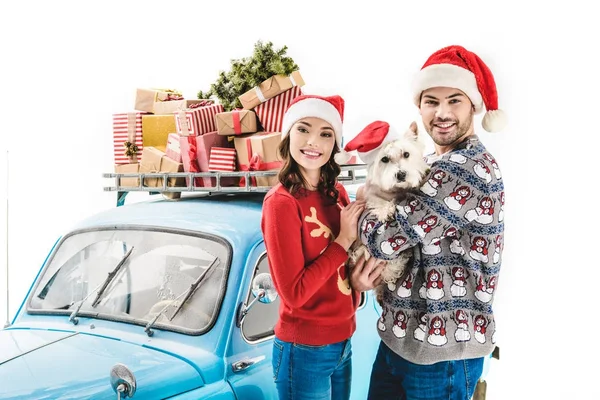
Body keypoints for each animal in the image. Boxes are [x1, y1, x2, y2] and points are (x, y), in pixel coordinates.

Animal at [346, 120, 432, 304]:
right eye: (384, 159)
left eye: (406, 154)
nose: (400, 174)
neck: (396, 191)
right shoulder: (370, 195)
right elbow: (377, 201)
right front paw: (387, 210)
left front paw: (425, 170)